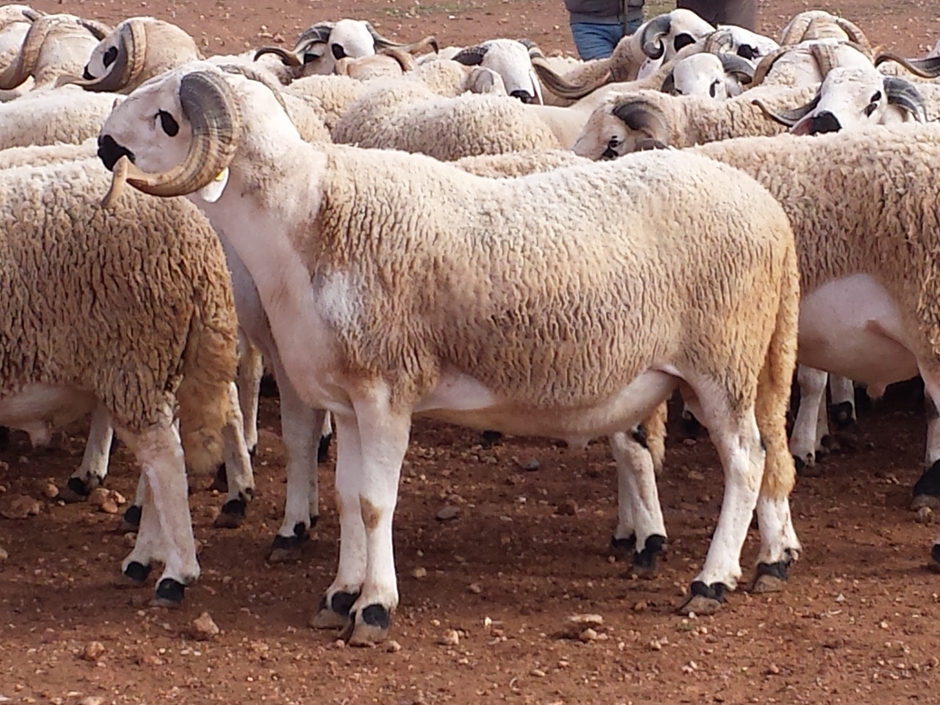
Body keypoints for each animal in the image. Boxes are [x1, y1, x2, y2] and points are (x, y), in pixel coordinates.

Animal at [0, 153, 243, 605]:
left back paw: (176, 575)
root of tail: (197, 234)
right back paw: (142, 559)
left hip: (132, 357)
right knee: (161, 457)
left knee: (165, 459)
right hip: (156, 367)